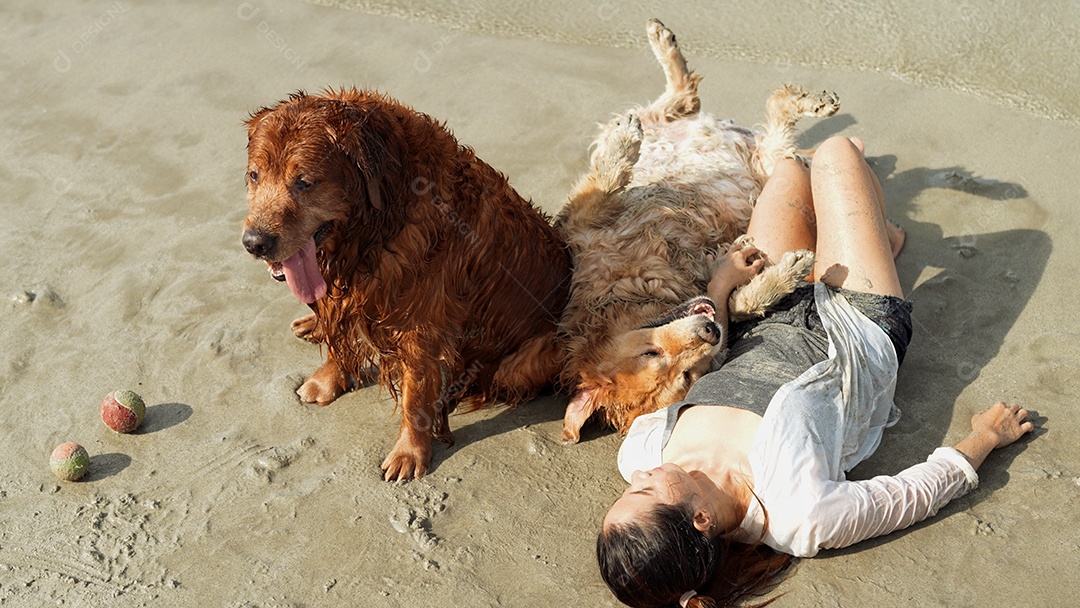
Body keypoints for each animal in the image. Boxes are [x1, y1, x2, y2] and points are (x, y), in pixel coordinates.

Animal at [239, 89, 570, 481]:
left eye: (304, 182)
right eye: (254, 176)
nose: (254, 243)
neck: (376, 224)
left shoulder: (421, 324)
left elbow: (415, 395)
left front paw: (409, 453)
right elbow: (339, 336)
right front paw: (327, 380)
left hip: (525, 361)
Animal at [557, 19, 833, 444]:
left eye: (649, 352)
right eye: (687, 375)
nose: (708, 332)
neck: (634, 291)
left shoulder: (582, 222)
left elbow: (605, 180)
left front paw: (624, 146)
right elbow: (736, 303)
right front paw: (784, 274)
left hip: (678, 127)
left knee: (680, 98)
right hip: (769, 163)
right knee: (764, 122)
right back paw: (796, 101)